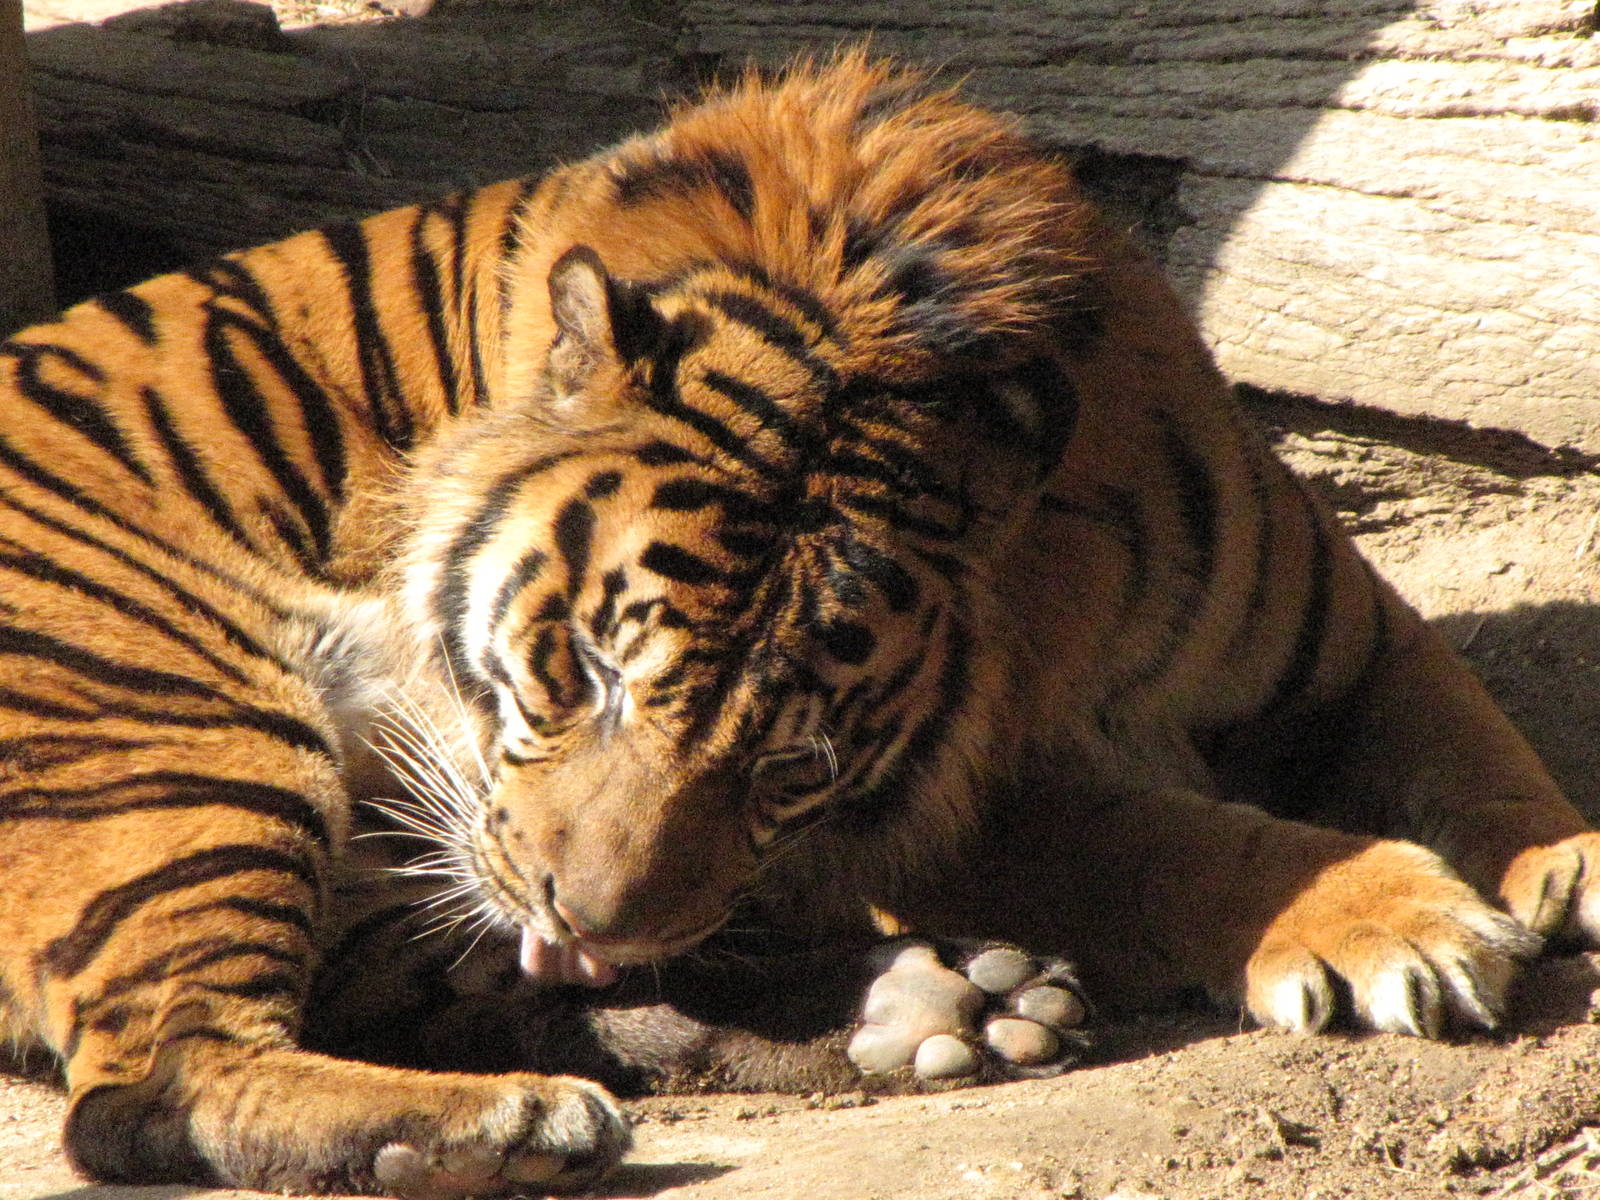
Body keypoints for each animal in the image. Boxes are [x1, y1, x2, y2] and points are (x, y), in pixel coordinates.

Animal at [3, 49, 1599, 1199]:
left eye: (790, 764)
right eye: (578, 670)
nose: (590, 931)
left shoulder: (1355, 640)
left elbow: (1472, 752)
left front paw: (1560, 867)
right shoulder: (968, 810)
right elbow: (1177, 841)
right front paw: (1393, 920)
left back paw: (942, 1008)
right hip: (192, 730)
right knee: (150, 1088)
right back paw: (510, 1128)